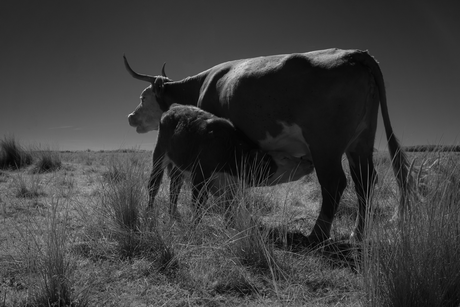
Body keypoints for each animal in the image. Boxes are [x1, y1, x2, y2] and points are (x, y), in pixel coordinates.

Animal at [146, 104, 310, 226]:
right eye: (284, 157)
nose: (308, 161)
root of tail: (174, 107)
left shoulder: (232, 188)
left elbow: (229, 211)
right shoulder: (200, 176)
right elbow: (198, 204)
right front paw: (194, 227)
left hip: (177, 168)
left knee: (174, 188)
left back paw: (173, 213)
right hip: (159, 156)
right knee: (154, 186)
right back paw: (149, 212)